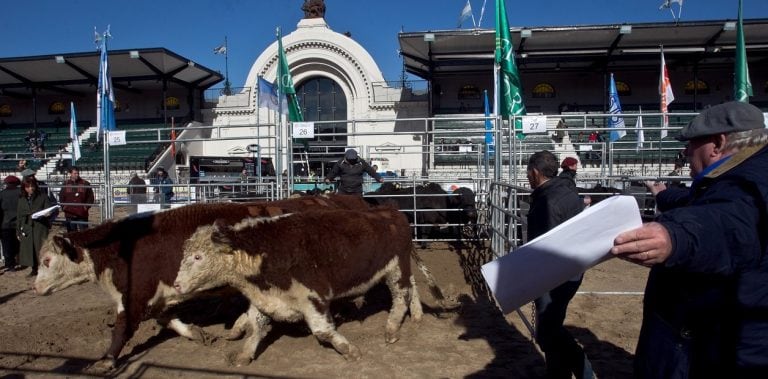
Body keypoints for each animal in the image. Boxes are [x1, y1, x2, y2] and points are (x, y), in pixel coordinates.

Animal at [34, 196, 370, 372]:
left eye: (47, 261)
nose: (35, 288)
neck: (120, 248)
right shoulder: (159, 296)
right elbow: (167, 318)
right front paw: (197, 333)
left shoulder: (133, 296)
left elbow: (122, 330)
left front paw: (105, 361)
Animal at [170, 208, 440, 368]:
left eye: (198, 257)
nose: (177, 284)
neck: (266, 251)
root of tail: (392, 212)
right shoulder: (266, 299)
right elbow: (255, 328)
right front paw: (243, 355)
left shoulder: (313, 297)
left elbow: (322, 331)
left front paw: (350, 350)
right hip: (399, 269)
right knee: (412, 288)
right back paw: (416, 316)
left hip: (396, 268)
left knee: (401, 295)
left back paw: (392, 329)